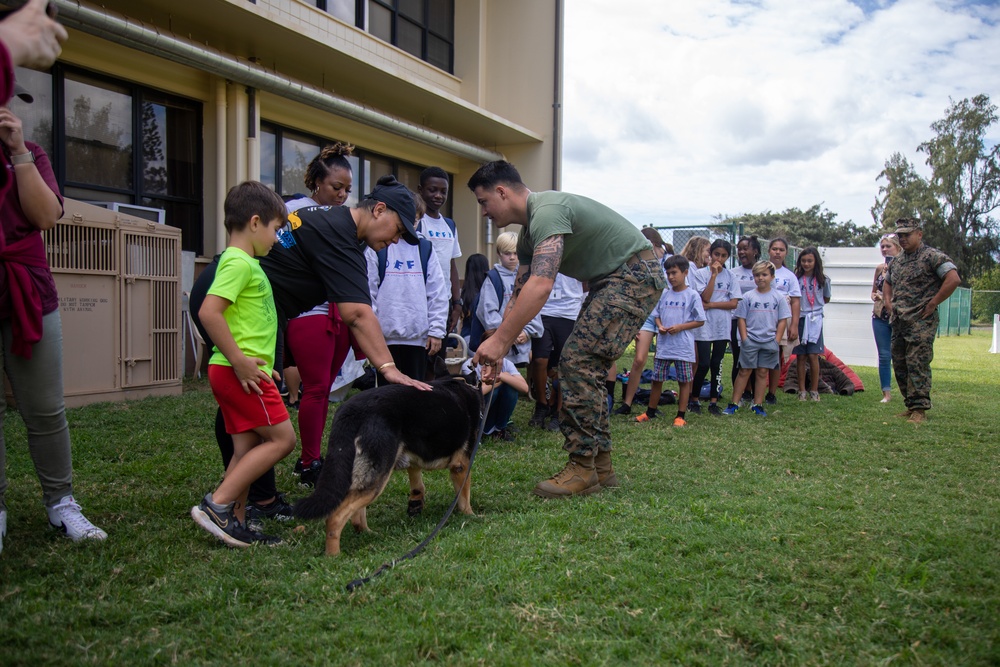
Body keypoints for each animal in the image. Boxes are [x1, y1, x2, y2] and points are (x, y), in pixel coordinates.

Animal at [292, 378, 484, 556]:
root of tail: (350, 412)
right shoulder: (461, 465)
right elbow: (464, 496)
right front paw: (470, 516)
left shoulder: (413, 459)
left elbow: (417, 483)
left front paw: (416, 503)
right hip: (377, 475)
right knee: (335, 517)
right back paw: (333, 556)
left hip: (366, 474)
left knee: (356, 516)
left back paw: (368, 534)